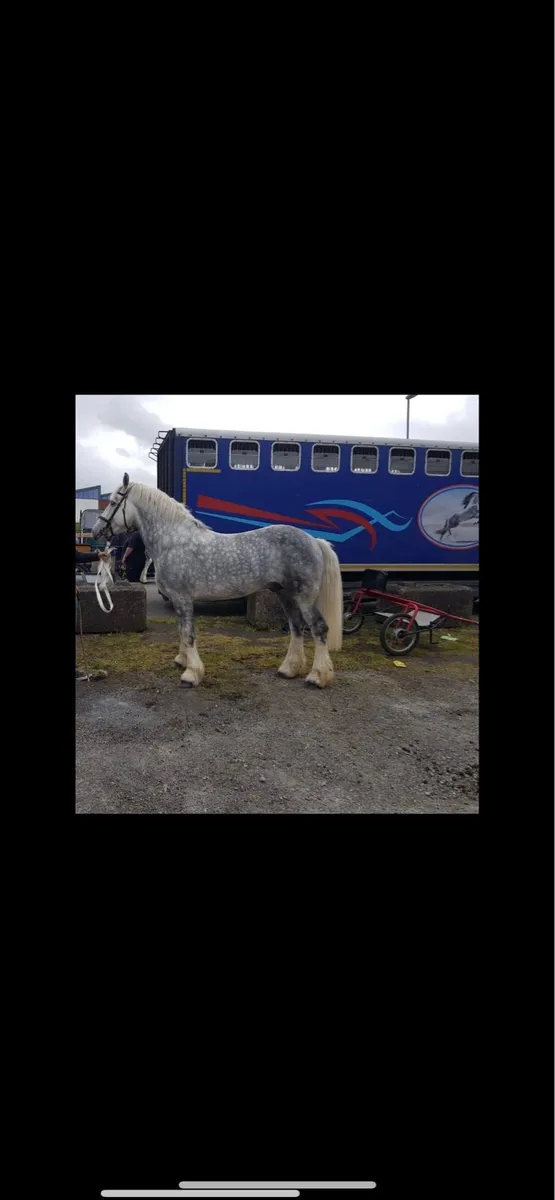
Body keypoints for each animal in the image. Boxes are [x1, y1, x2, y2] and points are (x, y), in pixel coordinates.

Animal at [92, 473, 343, 689]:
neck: (173, 542)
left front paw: (191, 674)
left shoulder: (183, 598)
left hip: (305, 597)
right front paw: (182, 660)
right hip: (285, 594)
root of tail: (313, 540)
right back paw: (289, 669)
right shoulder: (178, 600)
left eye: (113, 502)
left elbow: (188, 633)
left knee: (318, 628)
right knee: (296, 627)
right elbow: (181, 630)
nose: (96, 531)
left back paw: (317, 676)